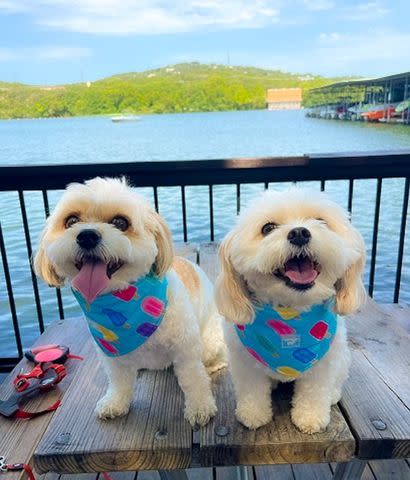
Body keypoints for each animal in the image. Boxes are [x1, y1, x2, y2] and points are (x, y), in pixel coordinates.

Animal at [34, 178, 227, 426]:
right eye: (71, 221)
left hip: (210, 341)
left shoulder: (185, 350)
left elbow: (193, 379)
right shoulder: (112, 356)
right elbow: (119, 382)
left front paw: (200, 407)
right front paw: (115, 403)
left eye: (120, 222)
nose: (87, 236)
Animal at [216, 188, 366, 436]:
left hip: (342, 357)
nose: (299, 233)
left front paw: (310, 417)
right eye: (267, 228)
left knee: (337, 380)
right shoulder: (244, 361)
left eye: (321, 221)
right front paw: (253, 414)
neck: (290, 316)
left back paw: (333, 395)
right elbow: (252, 389)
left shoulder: (323, 362)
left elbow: (315, 391)